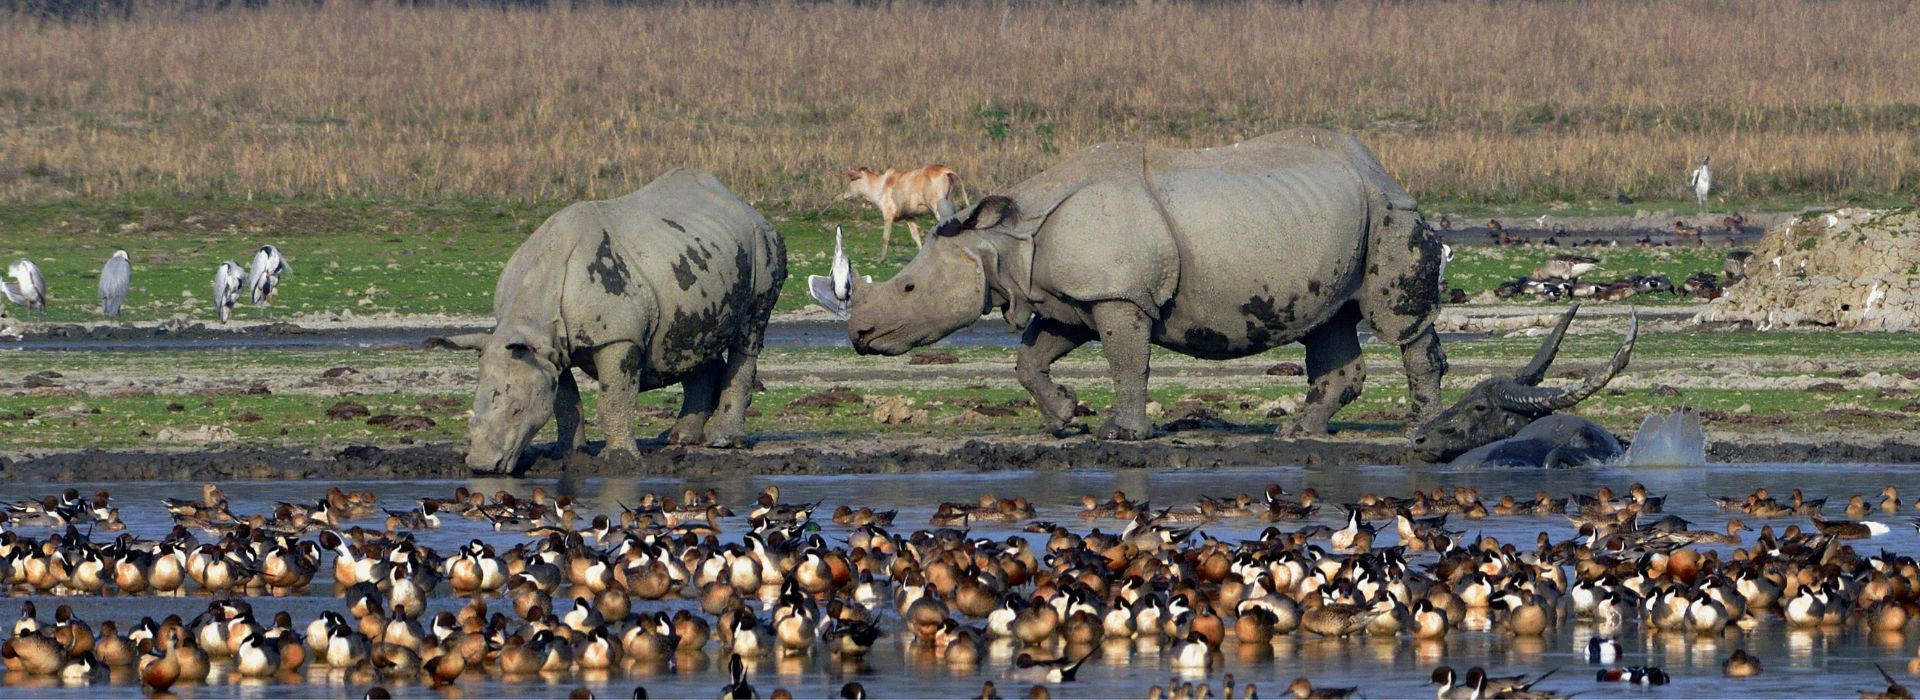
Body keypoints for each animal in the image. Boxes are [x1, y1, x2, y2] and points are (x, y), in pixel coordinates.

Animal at [435, 169, 787, 471]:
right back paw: (678, 439)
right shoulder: (549, 350)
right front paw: (568, 454)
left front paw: (619, 460)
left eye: (516, 410)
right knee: (687, 341)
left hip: (763, 244)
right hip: (695, 261)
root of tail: (743, 204)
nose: (481, 465)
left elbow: (613, 399)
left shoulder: (618, 337)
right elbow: (565, 403)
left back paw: (721, 442)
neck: (533, 316)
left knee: (749, 334)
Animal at [848, 128, 1443, 437]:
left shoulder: (1117, 293)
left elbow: (1127, 363)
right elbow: (1032, 358)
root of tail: (1381, 168)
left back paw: (1422, 432)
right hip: (1338, 218)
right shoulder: (1071, 297)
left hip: (1388, 212)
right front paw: (1065, 418)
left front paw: (1122, 433)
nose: (859, 335)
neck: (1006, 238)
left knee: (1399, 323)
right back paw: (1300, 432)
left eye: (908, 289)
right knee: (1330, 319)